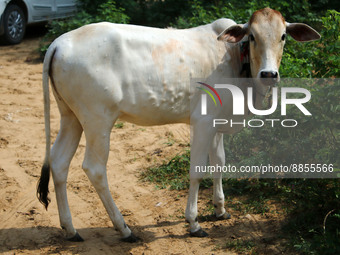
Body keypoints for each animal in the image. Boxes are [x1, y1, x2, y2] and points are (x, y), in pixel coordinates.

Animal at [37, 7, 318, 241]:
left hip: (71, 117)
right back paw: (124, 229)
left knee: (59, 162)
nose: (269, 74)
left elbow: (219, 162)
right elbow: (196, 171)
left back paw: (70, 229)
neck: (235, 59)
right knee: (94, 169)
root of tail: (59, 43)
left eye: (283, 36)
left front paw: (220, 209)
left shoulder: (217, 123)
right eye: (252, 37)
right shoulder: (203, 122)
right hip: (98, 120)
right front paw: (193, 223)